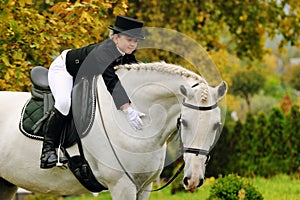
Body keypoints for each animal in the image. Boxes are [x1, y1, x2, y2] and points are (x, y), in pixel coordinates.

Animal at [0, 61, 225, 199]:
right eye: (184, 122)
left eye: (216, 125)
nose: (193, 180)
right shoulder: (121, 186)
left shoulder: (144, 187)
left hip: (6, 183)